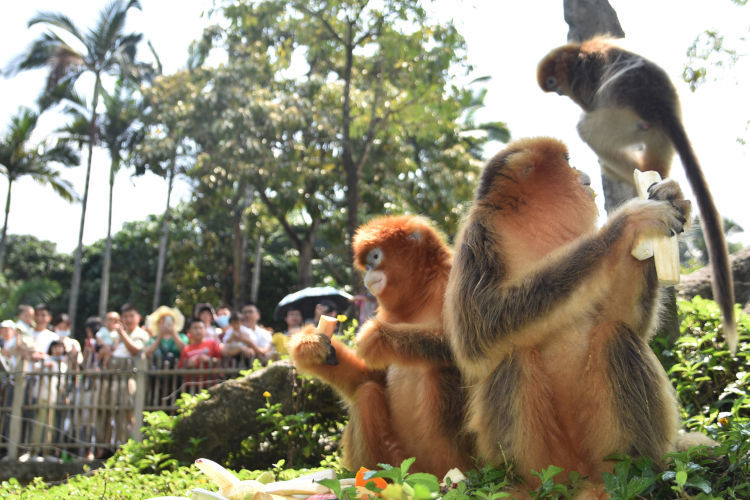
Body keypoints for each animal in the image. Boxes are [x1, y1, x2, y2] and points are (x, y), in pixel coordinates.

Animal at [288, 215, 470, 476]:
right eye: (366, 264)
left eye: (375, 257)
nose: (368, 273)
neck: (422, 296)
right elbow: (371, 377)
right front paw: (309, 348)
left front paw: (380, 339)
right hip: (397, 458)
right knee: (367, 393)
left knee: (440, 371)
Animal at [446, 136, 712, 488]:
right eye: (567, 161)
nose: (582, 172)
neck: (533, 222)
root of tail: (579, 475)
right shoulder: (478, 235)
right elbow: (479, 329)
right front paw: (628, 223)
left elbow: (624, 320)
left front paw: (669, 197)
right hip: (547, 459)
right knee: (515, 356)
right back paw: (527, 486)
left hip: (600, 447)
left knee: (616, 334)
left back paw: (635, 473)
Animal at [540, 36, 740, 352]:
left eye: (553, 83)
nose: (559, 92)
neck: (579, 50)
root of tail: (657, 104)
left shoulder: (580, 76)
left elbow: (587, 102)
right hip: (657, 133)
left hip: (618, 121)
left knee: (587, 129)